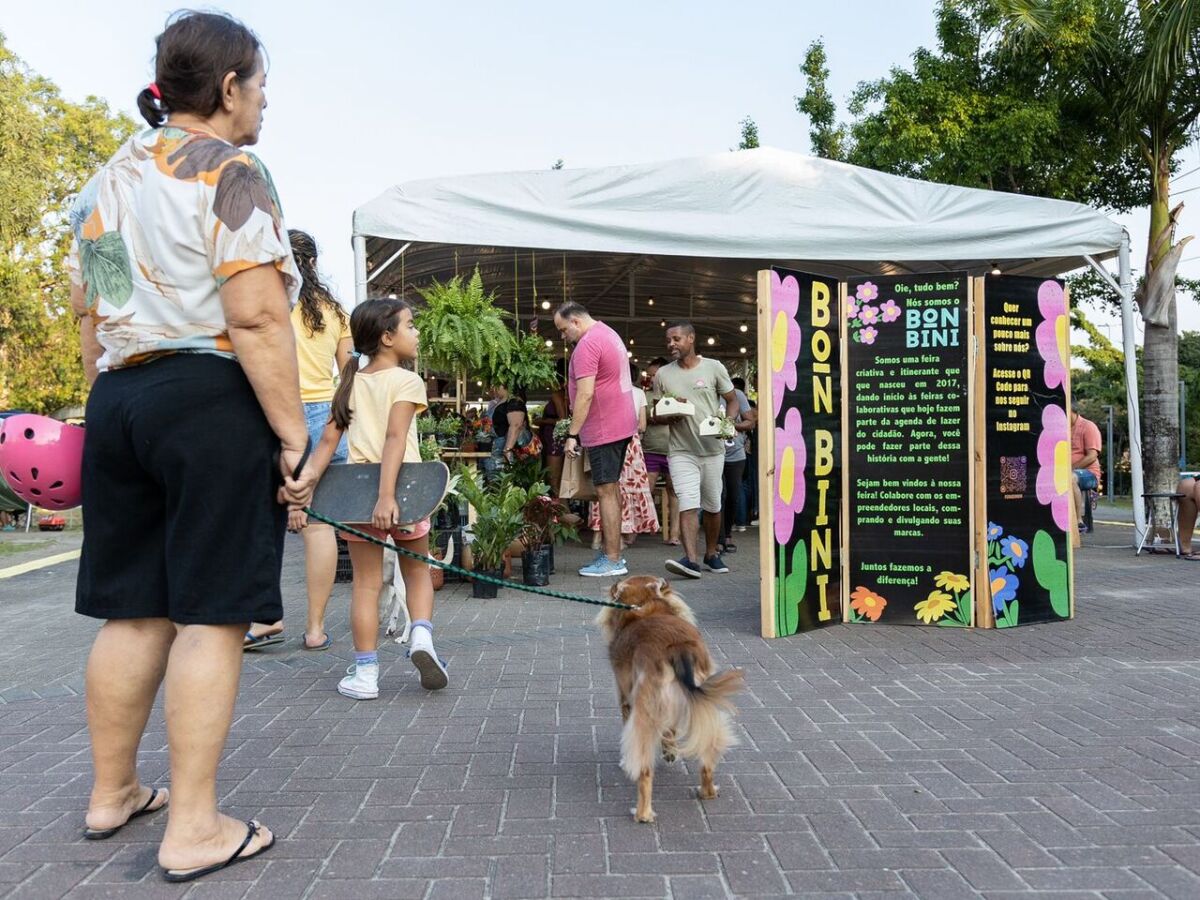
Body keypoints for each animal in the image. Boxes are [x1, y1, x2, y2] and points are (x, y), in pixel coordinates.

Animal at [597, 578, 744, 825]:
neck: (645, 606)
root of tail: (677, 646)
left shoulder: (626, 701)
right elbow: (670, 731)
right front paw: (670, 752)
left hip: (646, 710)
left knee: (645, 770)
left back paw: (643, 813)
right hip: (705, 705)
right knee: (707, 755)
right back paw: (707, 791)